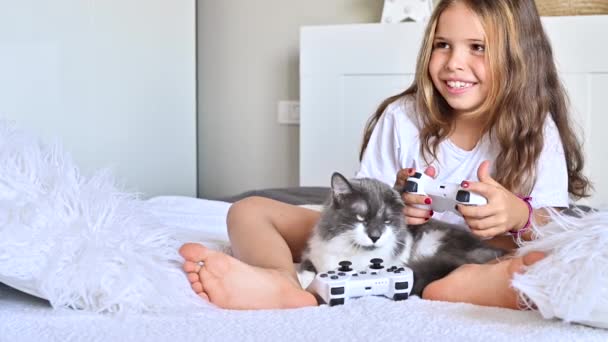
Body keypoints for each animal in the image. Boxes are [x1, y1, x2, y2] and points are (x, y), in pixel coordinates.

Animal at [300, 172, 508, 296]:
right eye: (361, 218)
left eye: (387, 221)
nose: (375, 236)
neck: (354, 255)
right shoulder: (314, 255)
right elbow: (306, 270)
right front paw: (304, 284)